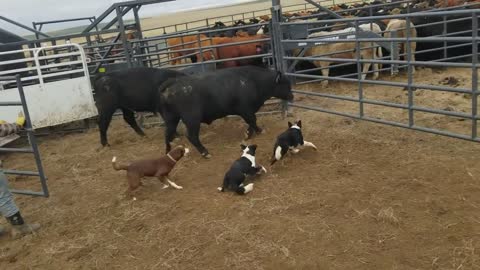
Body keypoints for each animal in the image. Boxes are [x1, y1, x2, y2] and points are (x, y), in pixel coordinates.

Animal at [158, 65, 294, 158]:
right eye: (285, 84)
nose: (292, 96)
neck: (253, 81)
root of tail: (173, 83)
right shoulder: (246, 110)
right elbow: (253, 121)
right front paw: (259, 131)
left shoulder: (248, 111)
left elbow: (251, 123)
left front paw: (248, 134)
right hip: (192, 120)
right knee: (192, 136)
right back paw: (205, 152)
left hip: (171, 118)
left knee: (167, 133)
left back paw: (168, 151)